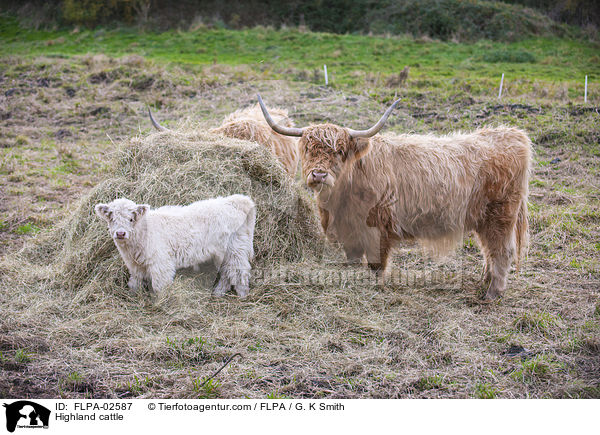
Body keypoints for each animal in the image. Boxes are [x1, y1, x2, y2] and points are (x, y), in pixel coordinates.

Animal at [94, 196, 255, 298]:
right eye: (111, 218)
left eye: (131, 219)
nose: (120, 233)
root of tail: (237, 200)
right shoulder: (135, 265)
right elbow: (135, 281)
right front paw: (134, 295)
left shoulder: (161, 263)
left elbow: (160, 285)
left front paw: (162, 302)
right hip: (223, 253)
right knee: (227, 273)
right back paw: (218, 293)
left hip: (235, 249)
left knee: (240, 271)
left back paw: (242, 295)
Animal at [256, 95, 528, 300]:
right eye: (308, 149)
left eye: (340, 151)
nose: (319, 174)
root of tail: (512, 134)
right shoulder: (349, 232)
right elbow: (353, 260)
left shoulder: (378, 228)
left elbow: (377, 264)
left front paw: (375, 287)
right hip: (484, 220)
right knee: (489, 251)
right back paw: (484, 281)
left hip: (500, 216)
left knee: (502, 252)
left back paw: (492, 293)